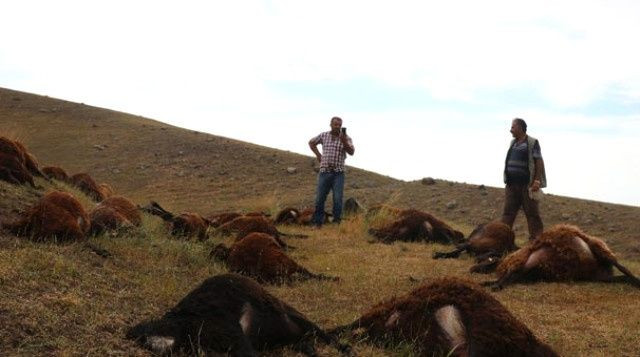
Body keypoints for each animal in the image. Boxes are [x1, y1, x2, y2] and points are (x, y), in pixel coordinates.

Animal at [127, 272, 352, 354]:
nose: (156, 346)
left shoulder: (229, 332)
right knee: (306, 342)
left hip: (297, 317)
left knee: (324, 335)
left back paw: (344, 347)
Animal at [480, 224, 640, 290]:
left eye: (486, 259)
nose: (475, 267)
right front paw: (491, 283)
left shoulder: (521, 261)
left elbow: (509, 275)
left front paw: (493, 284)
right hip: (598, 274)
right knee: (622, 276)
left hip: (600, 249)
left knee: (623, 268)